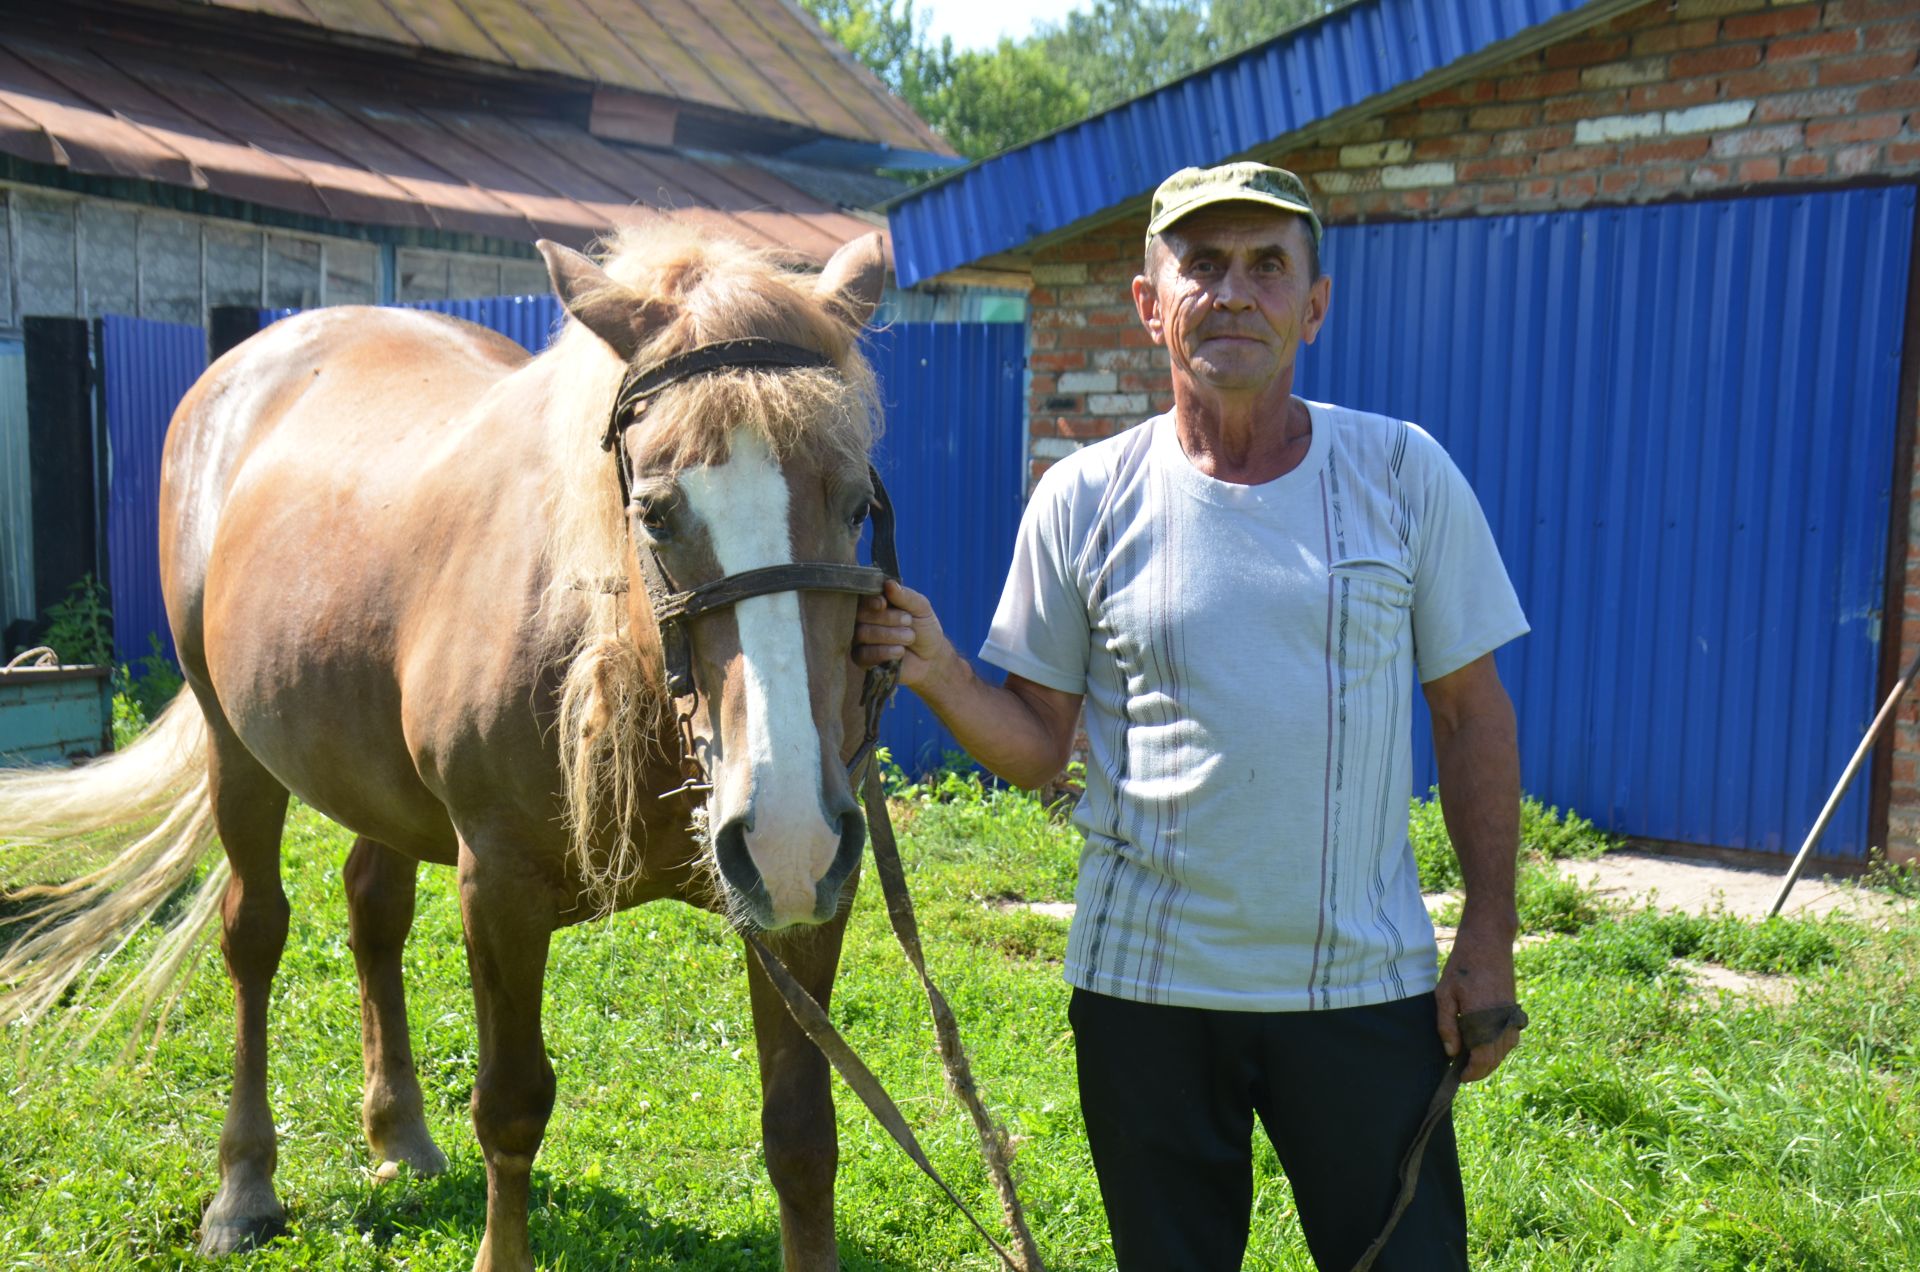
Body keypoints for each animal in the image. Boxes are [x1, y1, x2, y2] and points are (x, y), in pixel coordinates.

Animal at [0, 223, 898, 1268]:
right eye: (655, 510)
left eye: (855, 504)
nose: (788, 827)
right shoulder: (498, 885)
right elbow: (512, 1105)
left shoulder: (808, 901)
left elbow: (802, 1130)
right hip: (238, 753)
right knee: (254, 934)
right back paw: (244, 1186)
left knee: (372, 910)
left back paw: (399, 1133)